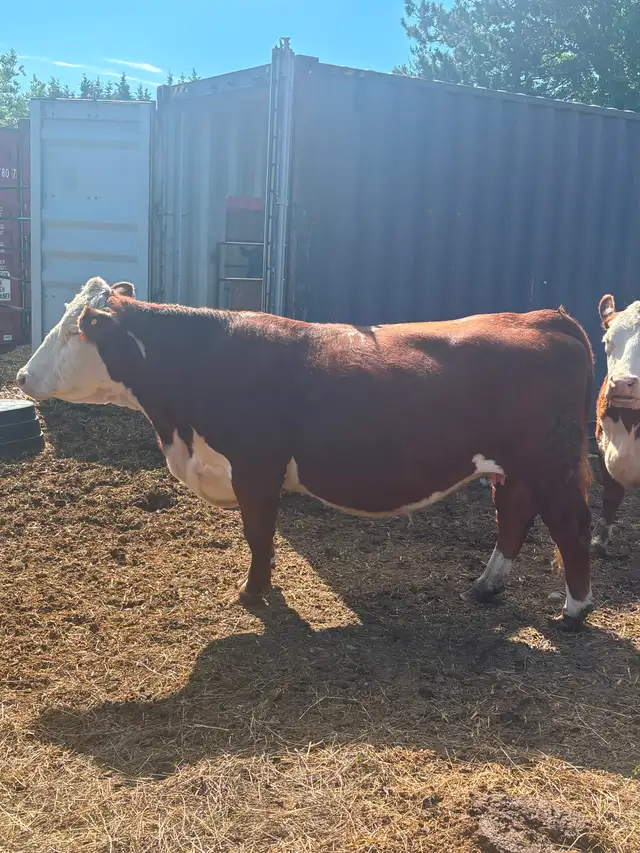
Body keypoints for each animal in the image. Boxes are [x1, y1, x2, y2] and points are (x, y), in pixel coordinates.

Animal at [17, 277, 595, 630]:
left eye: (72, 330)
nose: (21, 375)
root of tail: (547, 317)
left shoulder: (255, 467)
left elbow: (258, 533)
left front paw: (252, 594)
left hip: (552, 465)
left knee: (570, 526)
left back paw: (573, 610)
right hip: (512, 469)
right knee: (514, 516)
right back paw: (486, 587)